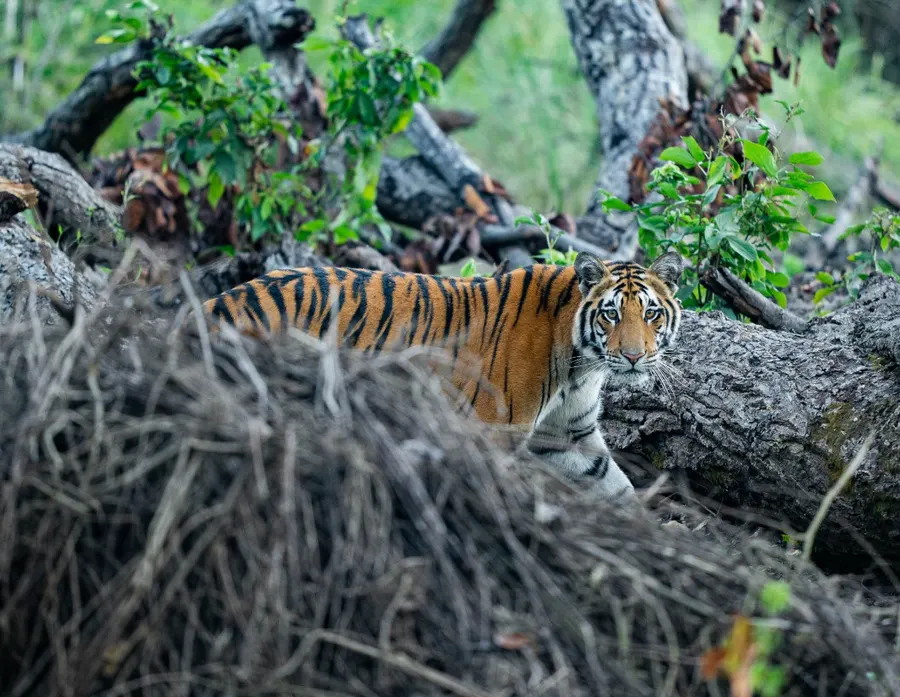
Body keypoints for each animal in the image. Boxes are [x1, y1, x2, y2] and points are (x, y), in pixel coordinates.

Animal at [198, 250, 684, 503]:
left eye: (651, 313)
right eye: (611, 315)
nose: (634, 356)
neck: (582, 366)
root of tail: (215, 305)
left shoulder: (570, 435)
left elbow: (612, 482)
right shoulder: (493, 430)